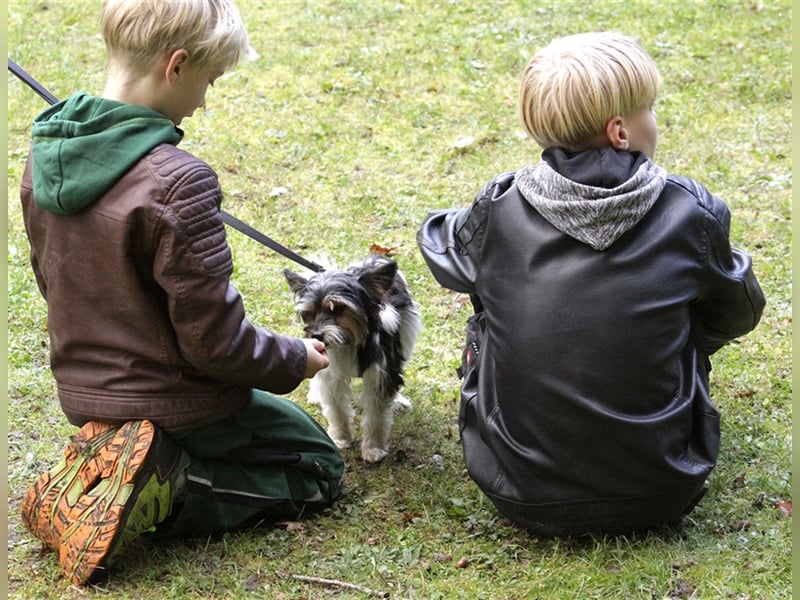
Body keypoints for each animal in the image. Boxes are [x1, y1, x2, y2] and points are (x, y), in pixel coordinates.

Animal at [282, 253, 422, 464]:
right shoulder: (331, 371)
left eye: (338, 309)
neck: (350, 341)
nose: (317, 336)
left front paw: (373, 448)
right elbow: (336, 408)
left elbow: (376, 414)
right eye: (309, 313)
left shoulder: (380, 373)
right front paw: (341, 438)